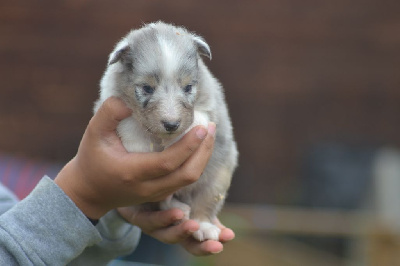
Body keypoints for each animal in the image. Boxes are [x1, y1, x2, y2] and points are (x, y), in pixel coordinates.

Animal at [94, 21, 238, 242]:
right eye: (147, 88)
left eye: (188, 87)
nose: (171, 125)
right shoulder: (113, 99)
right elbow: (132, 124)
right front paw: (142, 145)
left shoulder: (211, 104)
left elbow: (200, 118)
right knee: (163, 201)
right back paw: (179, 210)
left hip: (218, 178)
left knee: (203, 204)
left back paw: (202, 225)